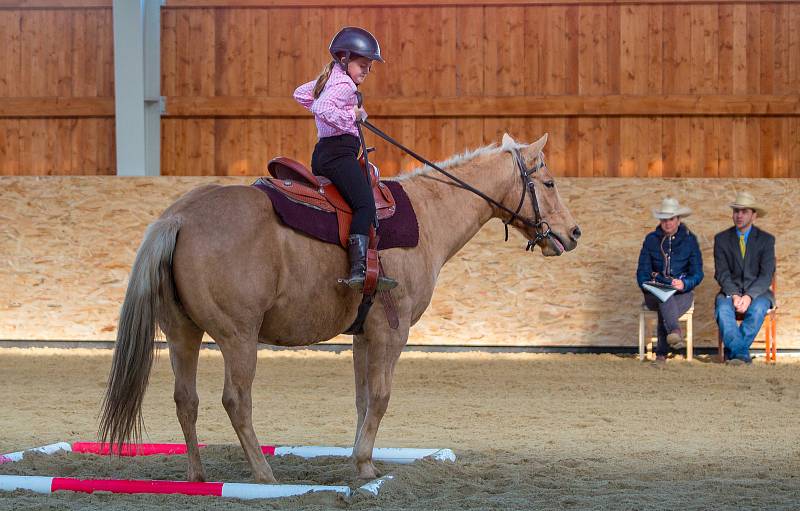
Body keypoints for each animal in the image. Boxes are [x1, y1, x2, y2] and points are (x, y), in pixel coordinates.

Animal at [98, 132, 580, 484]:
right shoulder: (392, 331)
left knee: (186, 399)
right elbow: (381, 397)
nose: (572, 233)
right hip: (239, 338)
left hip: (184, 334)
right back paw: (264, 475)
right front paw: (366, 465)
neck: (427, 215)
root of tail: (177, 218)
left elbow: (363, 400)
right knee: (236, 400)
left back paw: (197, 476)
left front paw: (358, 459)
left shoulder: (365, 334)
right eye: (550, 182)